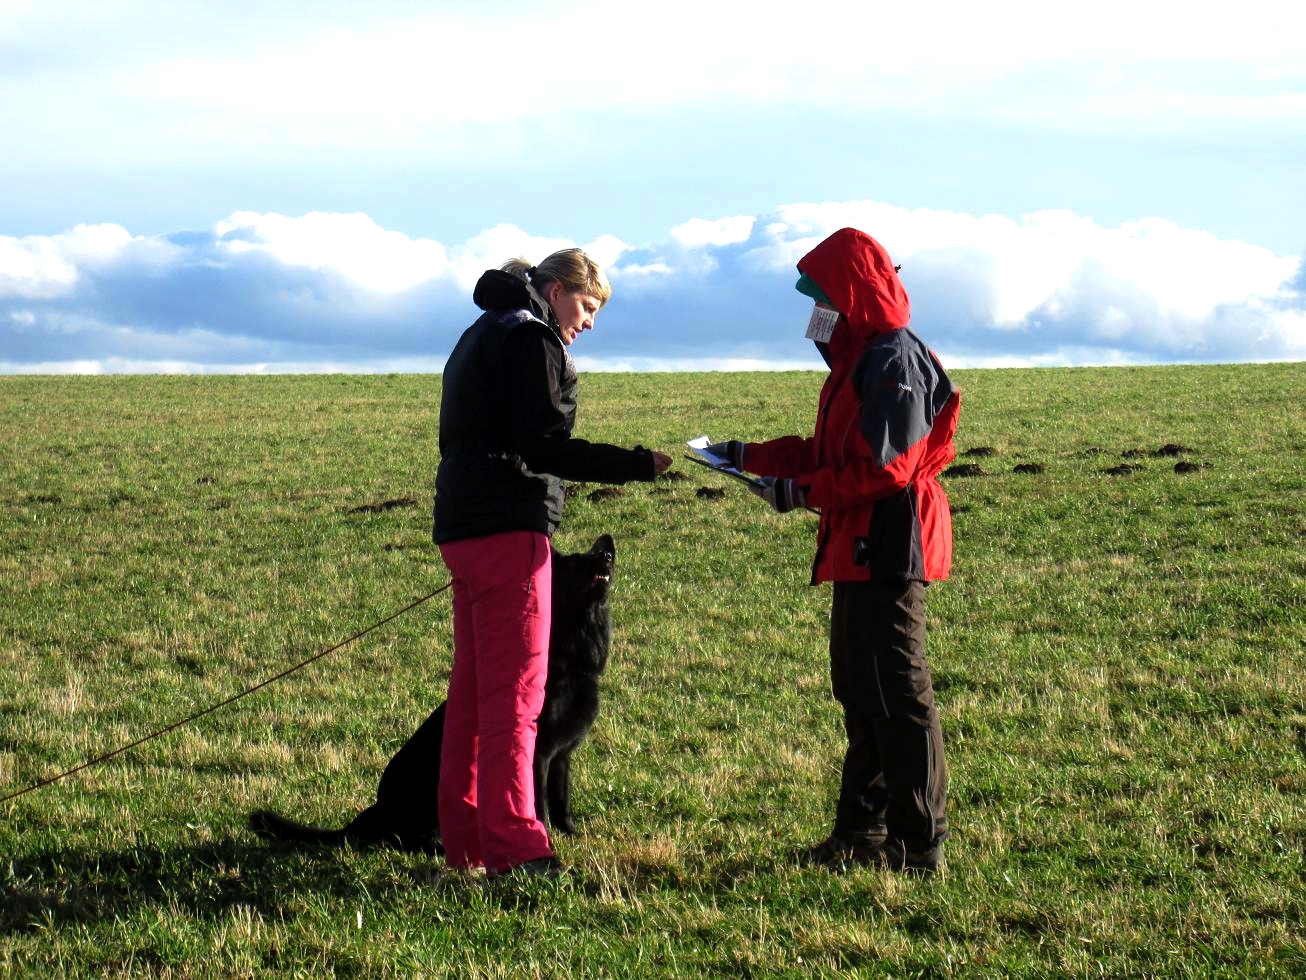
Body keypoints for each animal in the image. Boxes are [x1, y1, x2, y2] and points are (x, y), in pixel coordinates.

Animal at [249, 538, 616, 851]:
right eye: (578, 561)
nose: (607, 550)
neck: (570, 660)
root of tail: (376, 811)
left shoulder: (561, 756)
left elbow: (561, 800)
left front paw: (571, 834)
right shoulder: (536, 754)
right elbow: (539, 805)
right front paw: (544, 841)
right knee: (407, 839)